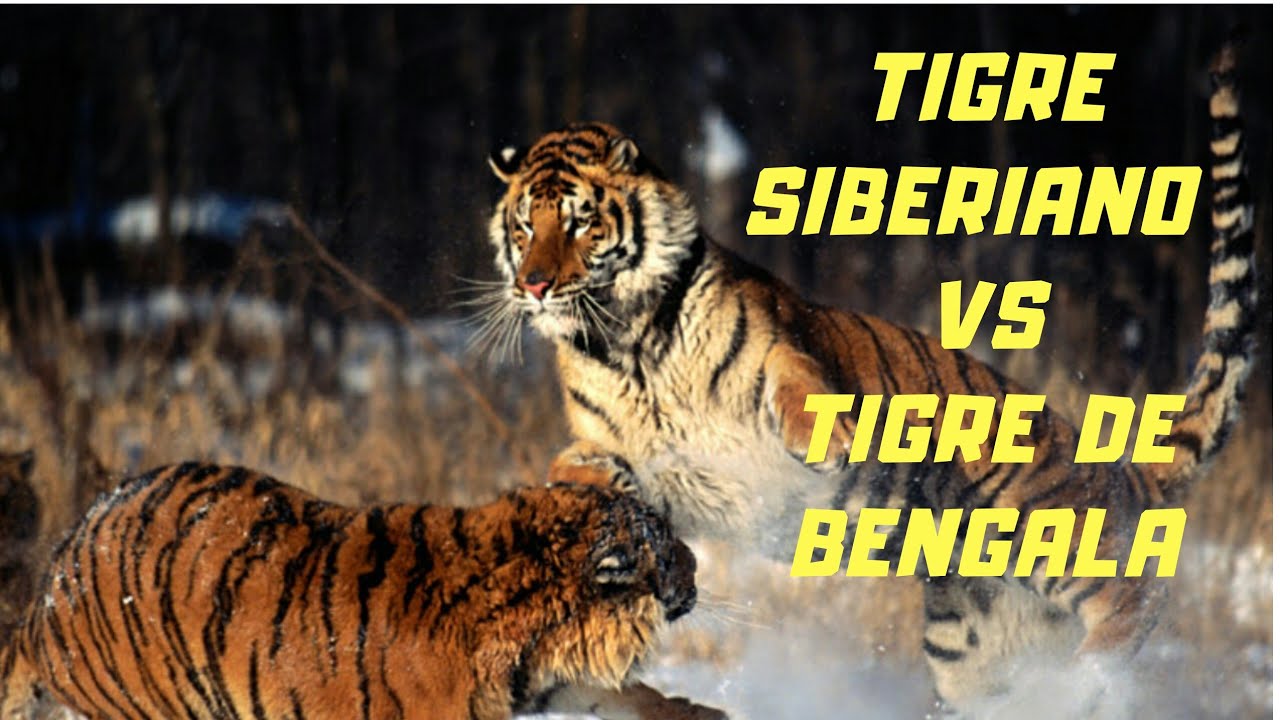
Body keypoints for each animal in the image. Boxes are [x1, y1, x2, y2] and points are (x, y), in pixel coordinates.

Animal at [479, 44, 1257, 715]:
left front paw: (826, 441)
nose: (534, 285)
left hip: (1056, 532)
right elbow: (579, 465)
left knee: (1131, 601)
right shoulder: (627, 451)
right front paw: (575, 503)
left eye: (580, 222)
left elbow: (794, 383)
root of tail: (1129, 468)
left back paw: (1091, 680)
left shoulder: (781, 341)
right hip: (971, 650)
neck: (625, 341)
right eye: (523, 227)